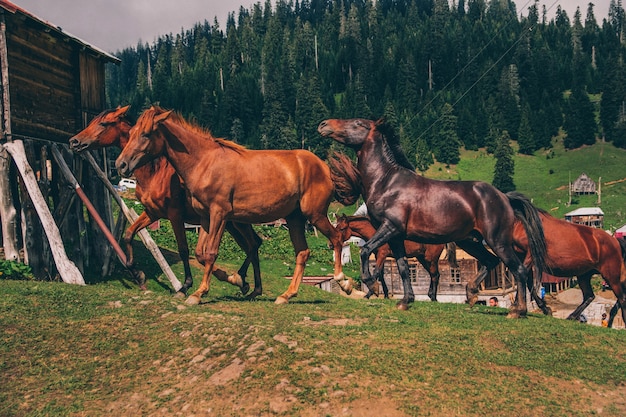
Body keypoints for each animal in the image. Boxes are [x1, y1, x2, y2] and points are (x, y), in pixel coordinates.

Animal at [67, 105, 260, 298]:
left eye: (103, 123)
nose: (74, 141)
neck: (155, 172)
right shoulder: (152, 213)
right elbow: (129, 234)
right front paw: (138, 274)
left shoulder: (175, 215)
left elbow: (183, 249)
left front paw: (185, 286)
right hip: (232, 223)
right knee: (253, 244)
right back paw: (247, 284)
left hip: (234, 222)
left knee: (252, 245)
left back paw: (242, 280)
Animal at [116, 105, 352, 304]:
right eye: (131, 132)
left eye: (146, 134)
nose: (121, 164)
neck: (204, 162)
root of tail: (324, 167)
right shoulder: (205, 217)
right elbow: (200, 253)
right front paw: (236, 280)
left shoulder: (219, 214)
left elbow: (210, 253)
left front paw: (199, 293)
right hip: (294, 218)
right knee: (302, 252)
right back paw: (285, 295)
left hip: (315, 215)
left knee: (336, 238)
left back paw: (343, 281)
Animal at [316, 117, 544, 316]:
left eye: (358, 123)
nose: (324, 124)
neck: (387, 182)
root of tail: (504, 197)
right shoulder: (396, 237)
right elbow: (403, 268)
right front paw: (405, 301)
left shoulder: (390, 227)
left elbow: (365, 252)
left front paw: (365, 286)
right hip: (470, 241)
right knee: (490, 261)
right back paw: (471, 294)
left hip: (497, 241)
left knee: (519, 270)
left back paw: (517, 310)